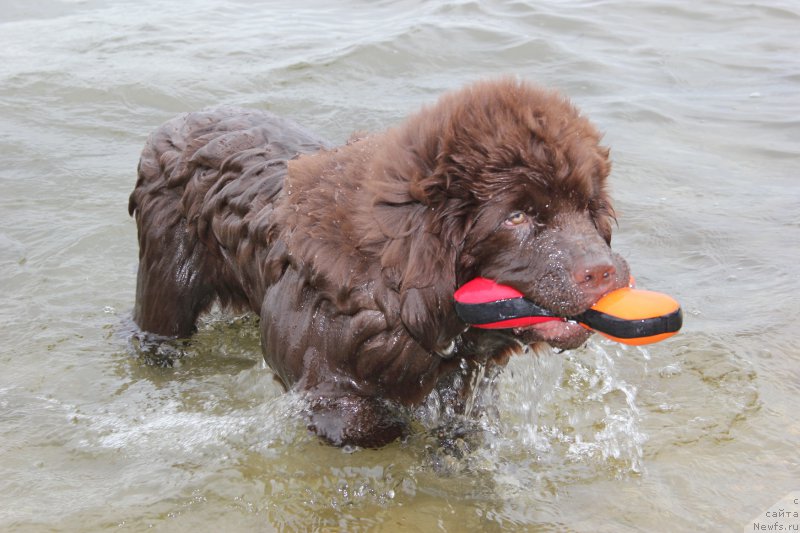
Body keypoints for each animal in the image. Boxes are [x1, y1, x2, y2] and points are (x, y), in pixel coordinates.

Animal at [130, 78, 632, 444]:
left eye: (588, 208)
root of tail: (172, 124)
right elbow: (365, 423)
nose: (605, 271)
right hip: (168, 278)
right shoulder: (318, 365)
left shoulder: (468, 380)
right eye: (516, 216)